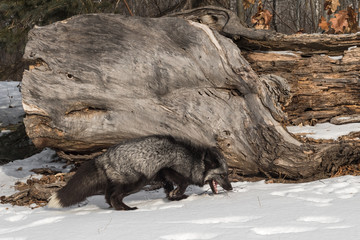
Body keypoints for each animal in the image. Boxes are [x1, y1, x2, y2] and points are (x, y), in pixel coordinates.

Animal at [47, 135, 232, 210]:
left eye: (227, 174)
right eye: (222, 175)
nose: (231, 188)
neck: (193, 161)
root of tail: (103, 156)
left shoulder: (162, 176)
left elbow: (169, 189)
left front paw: (174, 197)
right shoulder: (168, 169)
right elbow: (183, 183)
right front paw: (177, 194)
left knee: (108, 196)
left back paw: (116, 208)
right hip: (137, 182)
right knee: (114, 197)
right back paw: (127, 209)